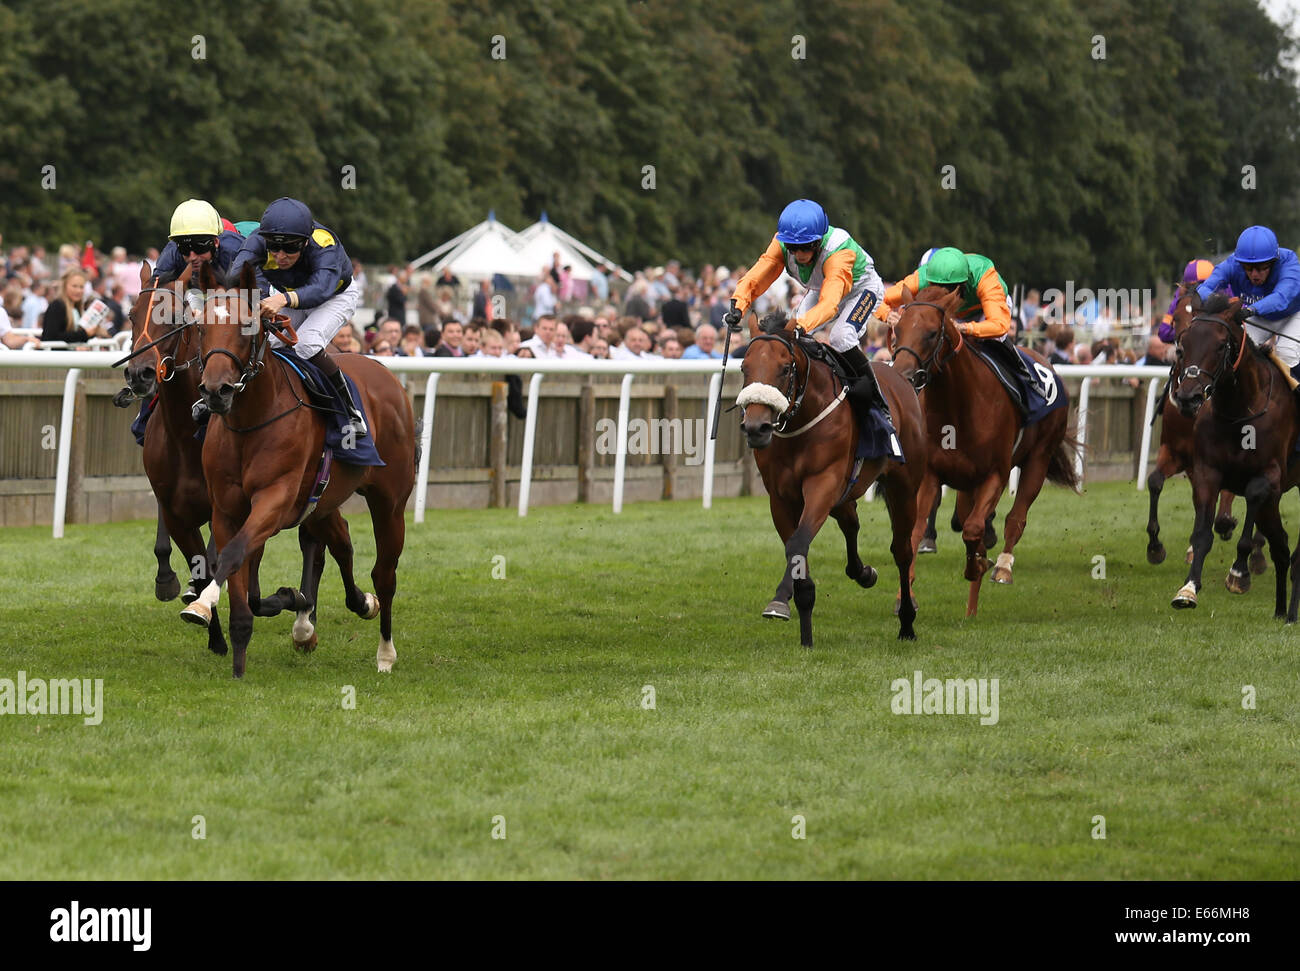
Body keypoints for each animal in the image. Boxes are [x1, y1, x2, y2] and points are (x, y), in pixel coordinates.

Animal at [179, 262, 416, 681]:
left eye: (248, 325)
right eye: (201, 327)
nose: (215, 391)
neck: (250, 422)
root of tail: (387, 377)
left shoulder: (274, 499)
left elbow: (234, 554)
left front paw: (203, 604)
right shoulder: (227, 510)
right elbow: (239, 575)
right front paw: (240, 658)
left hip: (389, 503)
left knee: (384, 575)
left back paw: (385, 652)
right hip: (322, 502)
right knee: (340, 544)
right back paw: (349, 607)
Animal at [743, 311, 925, 644]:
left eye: (785, 368)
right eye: (743, 367)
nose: (756, 428)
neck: (799, 422)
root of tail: (900, 377)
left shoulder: (823, 482)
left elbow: (799, 541)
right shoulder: (780, 497)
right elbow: (795, 546)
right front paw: (788, 609)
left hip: (904, 486)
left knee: (902, 551)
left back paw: (907, 623)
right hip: (845, 493)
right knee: (851, 522)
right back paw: (863, 573)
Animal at [889, 284, 1081, 616]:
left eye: (931, 333)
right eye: (897, 329)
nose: (903, 375)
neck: (957, 405)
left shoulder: (996, 474)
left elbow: (974, 528)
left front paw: (978, 565)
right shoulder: (931, 475)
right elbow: (918, 530)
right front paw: (906, 595)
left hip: (1039, 457)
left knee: (1015, 518)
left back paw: (1002, 567)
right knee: (965, 517)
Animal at [1170, 293, 1300, 623]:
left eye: (1220, 345)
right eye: (1182, 344)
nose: (1188, 397)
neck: (1240, 410)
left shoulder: (1269, 477)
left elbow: (1250, 507)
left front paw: (1239, 573)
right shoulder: (1207, 473)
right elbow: (1202, 534)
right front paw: (1188, 589)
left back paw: (1292, 614)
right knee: (1282, 549)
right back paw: (1281, 612)